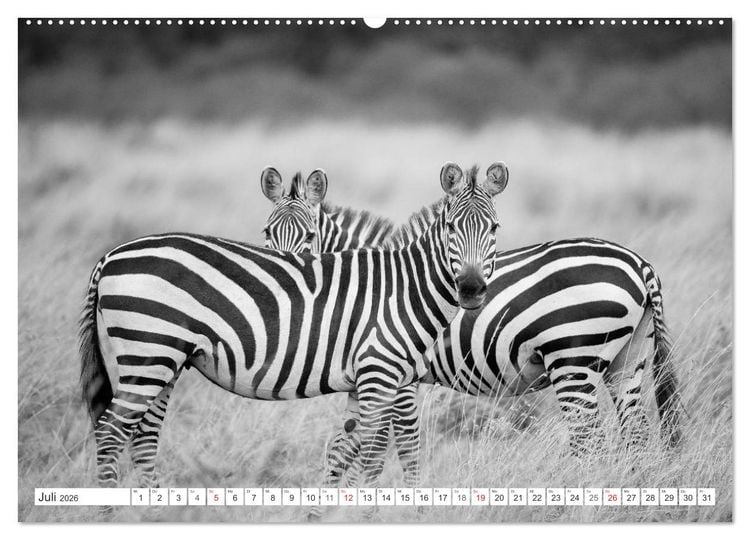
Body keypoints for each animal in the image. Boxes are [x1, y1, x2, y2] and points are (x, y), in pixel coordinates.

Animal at [79, 162, 509, 489]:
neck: (405, 287)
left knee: (143, 438)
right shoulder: (382, 376)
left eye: (494, 229)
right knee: (111, 433)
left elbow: (345, 449)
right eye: (451, 228)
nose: (471, 289)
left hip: (160, 361)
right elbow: (378, 452)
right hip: (148, 354)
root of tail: (111, 255)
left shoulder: (370, 382)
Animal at [259, 168, 681, 514]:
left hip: (574, 361)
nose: (282, 281)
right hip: (627, 361)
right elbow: (348, 449)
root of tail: (639, 263)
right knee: (637, 434)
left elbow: (395, 449)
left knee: (589, 441)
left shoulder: (398, 379)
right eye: (266, 233)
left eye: (310, 236)